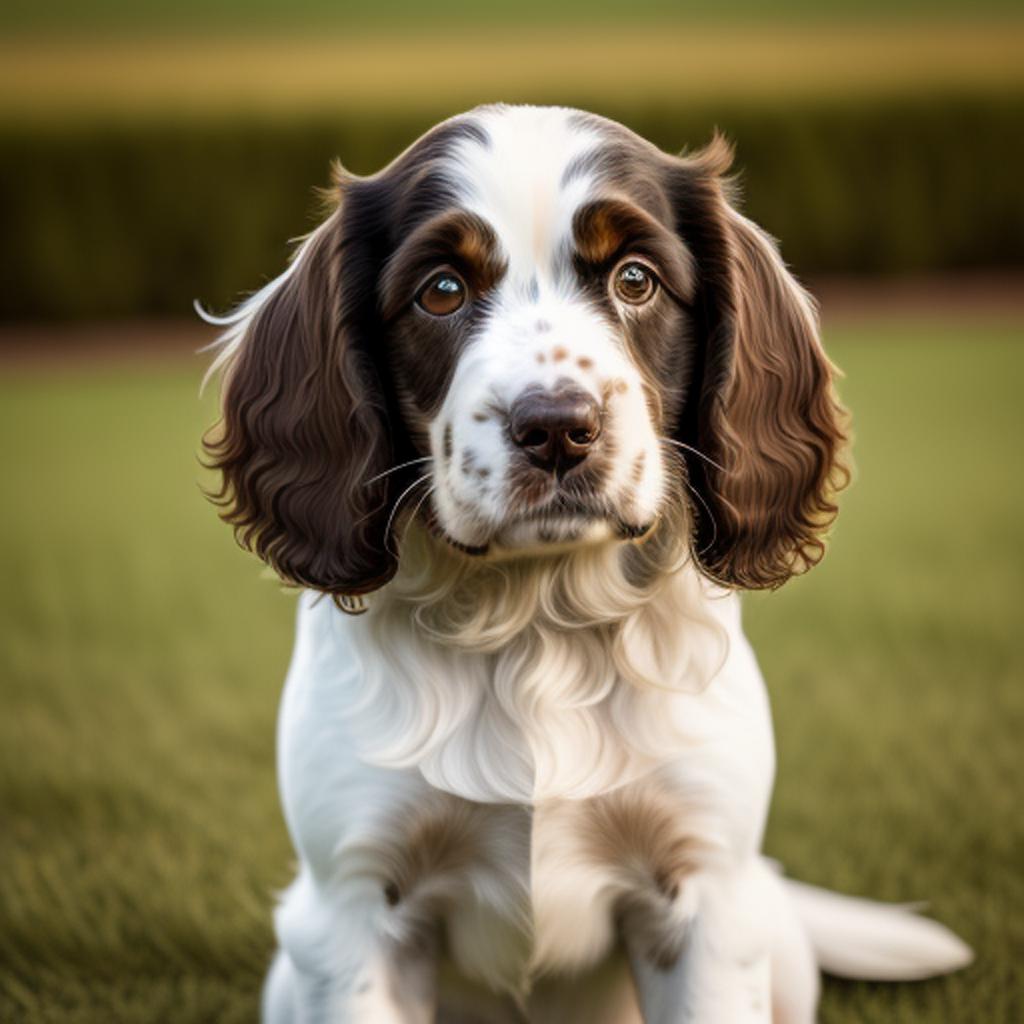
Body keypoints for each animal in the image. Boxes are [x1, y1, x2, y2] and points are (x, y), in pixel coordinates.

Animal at [197, 103, 966, 1024]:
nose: (558, 427)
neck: (537, 624)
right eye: (441, 291)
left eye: (635, 280)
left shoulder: (706, 897)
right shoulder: (352, 903)